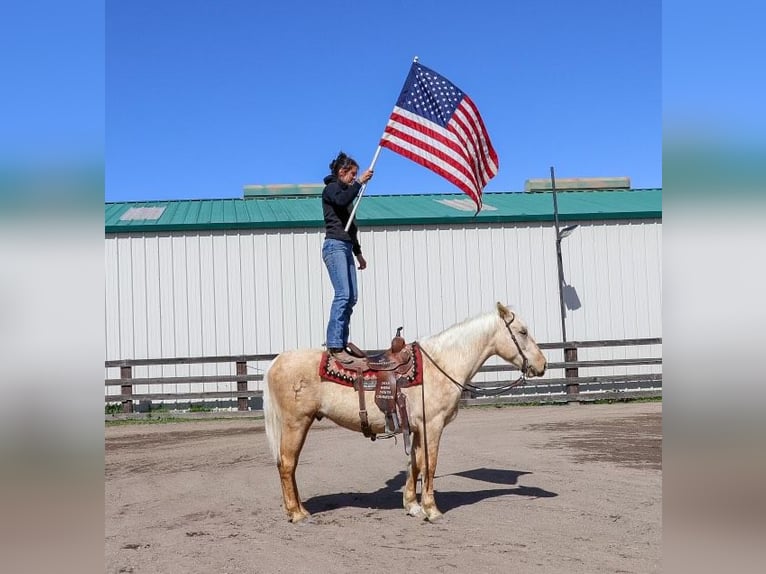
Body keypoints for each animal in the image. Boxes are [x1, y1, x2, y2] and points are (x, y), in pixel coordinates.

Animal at [264, 304, 544, 524]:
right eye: (523, 332)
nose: (542, 365)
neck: (440, 364)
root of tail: (276, 361)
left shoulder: (417, 428)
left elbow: (416, 463)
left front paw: (413, 506)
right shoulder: (433, 425)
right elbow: (430, 464)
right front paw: (432, 510)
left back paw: (297, 509)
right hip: (296, 423)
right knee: (287, 464)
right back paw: (297, 514)